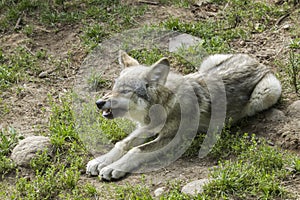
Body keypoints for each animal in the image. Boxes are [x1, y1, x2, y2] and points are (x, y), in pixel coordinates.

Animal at [86, 50, 282, 180]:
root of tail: (256, 62)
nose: (99, 103)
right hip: (206, 62)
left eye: (126, 91)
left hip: (266, 93)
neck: (164, 106)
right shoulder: (147, 127)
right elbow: (123, 143)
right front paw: (101, 161)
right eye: (113, 88)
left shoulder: (173, 139)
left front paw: (114, 167)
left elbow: (136, 150)